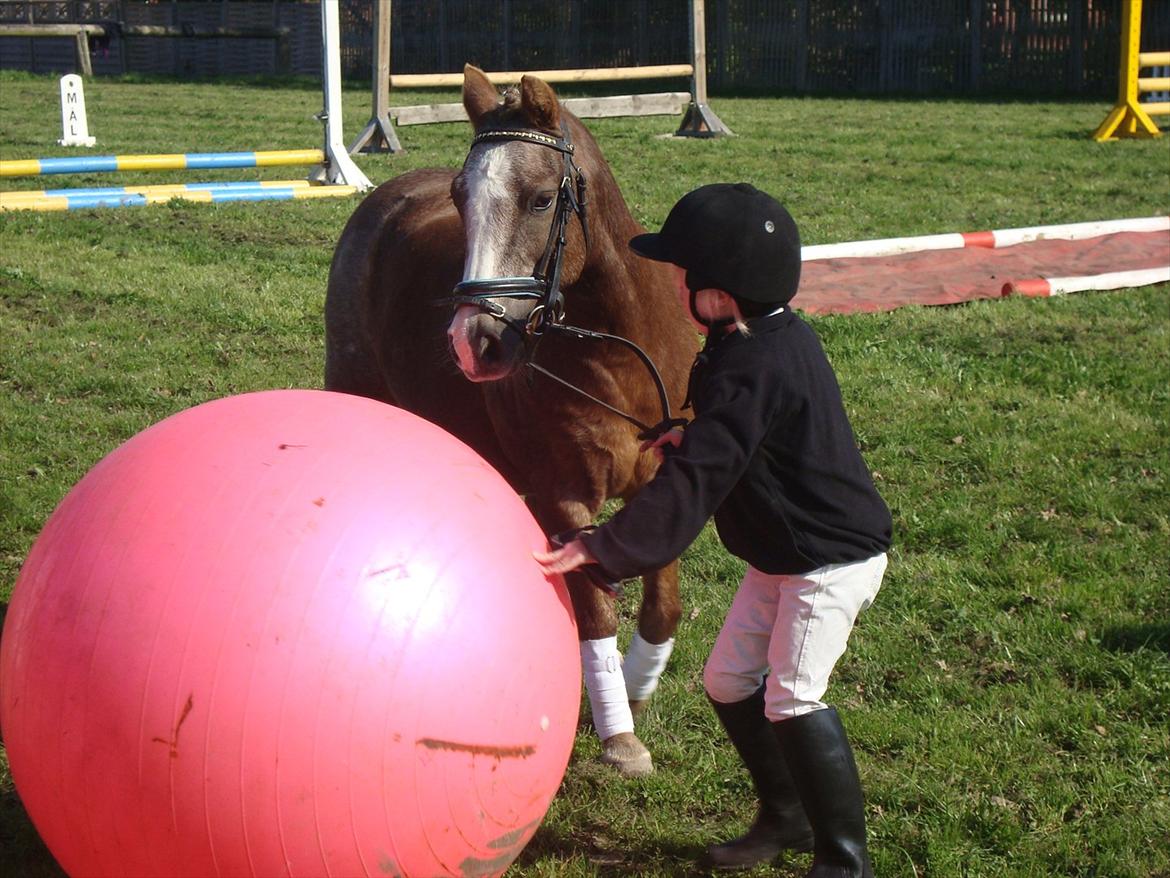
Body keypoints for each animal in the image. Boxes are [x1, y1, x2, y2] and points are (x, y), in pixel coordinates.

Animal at [325, 63, 697, 777]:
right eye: (461, 197)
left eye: (542, 200)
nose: (475, 340)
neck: (621, 353)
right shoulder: (562, 499)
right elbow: (595, 612)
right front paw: (619, 735)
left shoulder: (670, 482)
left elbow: (662, 605)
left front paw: (635, 693)